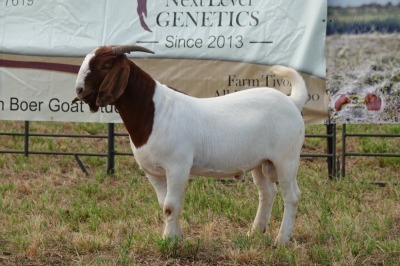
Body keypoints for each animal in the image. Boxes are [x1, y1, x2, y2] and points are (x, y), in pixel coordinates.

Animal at [73, 44, 308, 245]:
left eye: (105, 66)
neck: (154, 113)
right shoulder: (153, 172)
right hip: (260, 162)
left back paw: (282, 239)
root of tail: (291, 101)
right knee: (267, 193)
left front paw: (169, 241)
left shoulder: (178, 167)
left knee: (292, 196)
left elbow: (170, 206)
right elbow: (165, 205)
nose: (79, 90)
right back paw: (255, 232)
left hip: (286, 159)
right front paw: (176, 237)